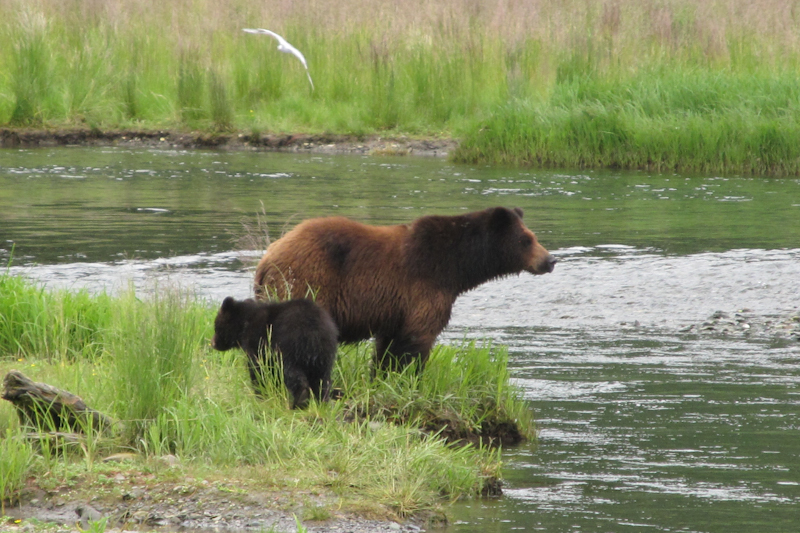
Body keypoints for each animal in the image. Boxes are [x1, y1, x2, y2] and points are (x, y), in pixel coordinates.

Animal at [253, 206, 556, 373]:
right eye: (526, 240)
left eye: (533, 237)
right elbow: (415, 341)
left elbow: (387, 347)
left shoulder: (393, 309)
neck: (456, 268)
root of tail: (267, 258)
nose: (550, 260)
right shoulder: (423, 289)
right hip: (306, 282)